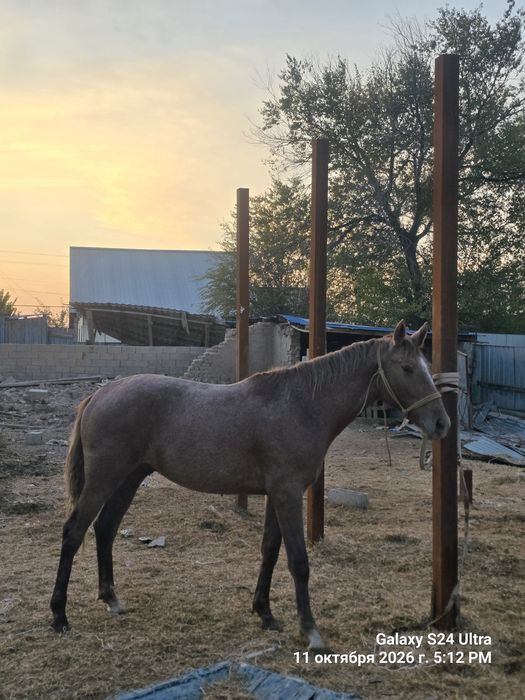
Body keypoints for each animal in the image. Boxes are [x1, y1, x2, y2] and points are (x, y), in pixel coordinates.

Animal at [50, 320, 450, 650]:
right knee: (74, 531)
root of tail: (100, 394)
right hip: (104, 479)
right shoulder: (288, 494)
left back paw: (111, 599)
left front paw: (265, 613)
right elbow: (298, 561)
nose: (441, 424)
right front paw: (311, 630)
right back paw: (59, 615)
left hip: (129, 478)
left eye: (427, 368)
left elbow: (270, 552)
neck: (301, 405)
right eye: (407, 368)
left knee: (105, 528)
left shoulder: (277, 495)